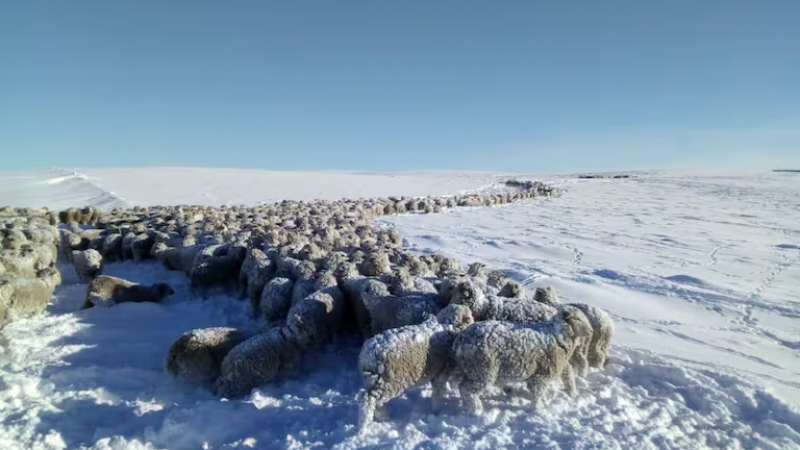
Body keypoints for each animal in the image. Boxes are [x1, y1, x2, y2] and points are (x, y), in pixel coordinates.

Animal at [450, 306, 592, 414]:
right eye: (578, 319)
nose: (591, 331)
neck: (558, 336)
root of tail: (461, 339)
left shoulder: (541, 373)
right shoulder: (541, 375)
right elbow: (538, 393)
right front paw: (538, 409)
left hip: (472, 369)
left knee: (463, 387)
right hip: (482, 370)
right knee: (467, 390)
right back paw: (476, 410)